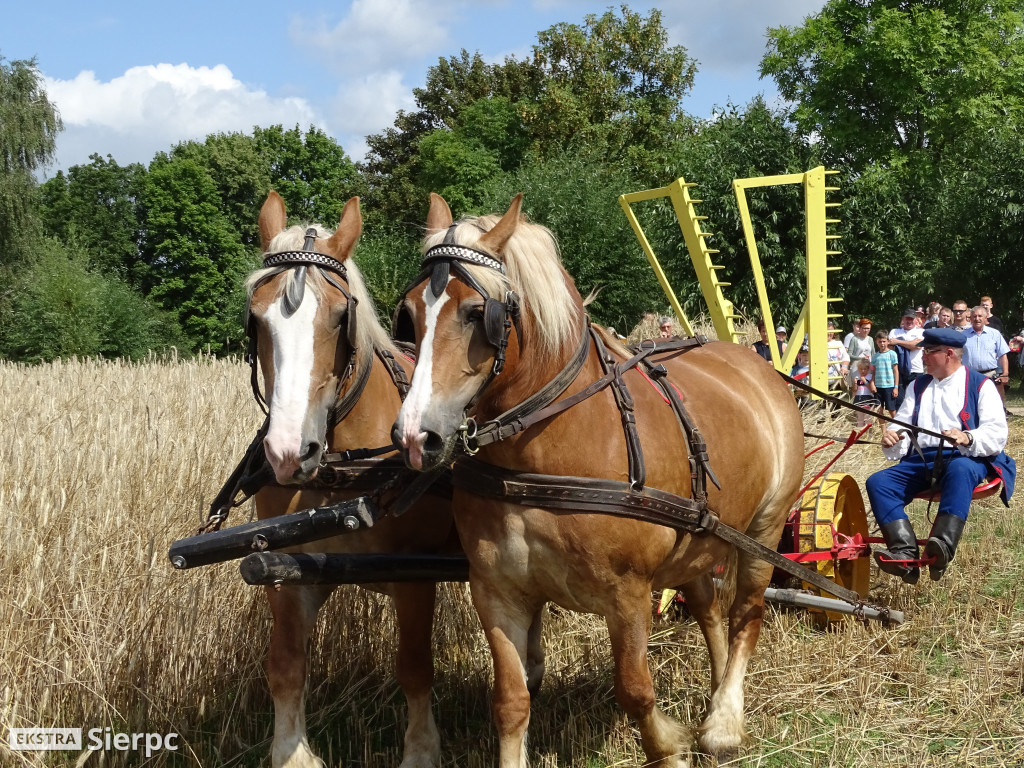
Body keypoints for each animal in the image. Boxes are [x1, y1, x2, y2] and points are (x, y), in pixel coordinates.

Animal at [247, 188, 456, 768]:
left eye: (342, 316)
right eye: (255, 318)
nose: (288, 452)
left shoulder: (415, 576)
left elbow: (415, 668)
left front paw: (421, 751)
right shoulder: (287, 571)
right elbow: (285, 666)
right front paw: (292, 752)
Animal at [395, 193, 802, 768]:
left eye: (479, 313)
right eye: (409, 314)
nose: (415, 436)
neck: (541, 453)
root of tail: (754, 362)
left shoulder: (627, 594)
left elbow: (635, 689)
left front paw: (668, 748)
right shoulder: (496, 589)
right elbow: (511, 700)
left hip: (765, 528)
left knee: (747, 611)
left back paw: (724, 720)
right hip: (700, 537)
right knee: (707, 606)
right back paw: (718, 690)